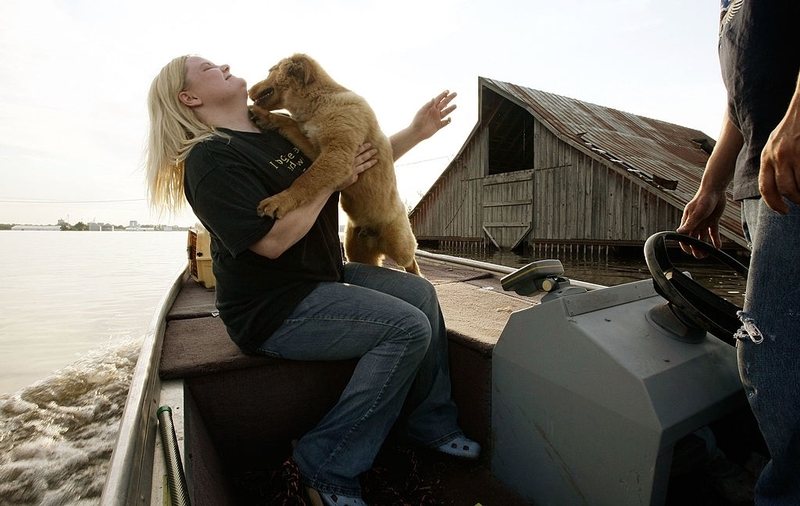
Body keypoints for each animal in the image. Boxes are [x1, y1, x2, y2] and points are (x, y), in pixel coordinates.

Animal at [248, 54, 422, 276]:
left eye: (270, 70)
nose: (247, 90)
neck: (319, 103)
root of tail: (373, 234)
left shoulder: (337, 154)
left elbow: (305, 180)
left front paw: (279, 201)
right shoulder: (318, 149)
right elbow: (289, 124)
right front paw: (265, 116)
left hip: (399, 245)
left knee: (410, 259)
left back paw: (417, 274)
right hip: (356, 250)